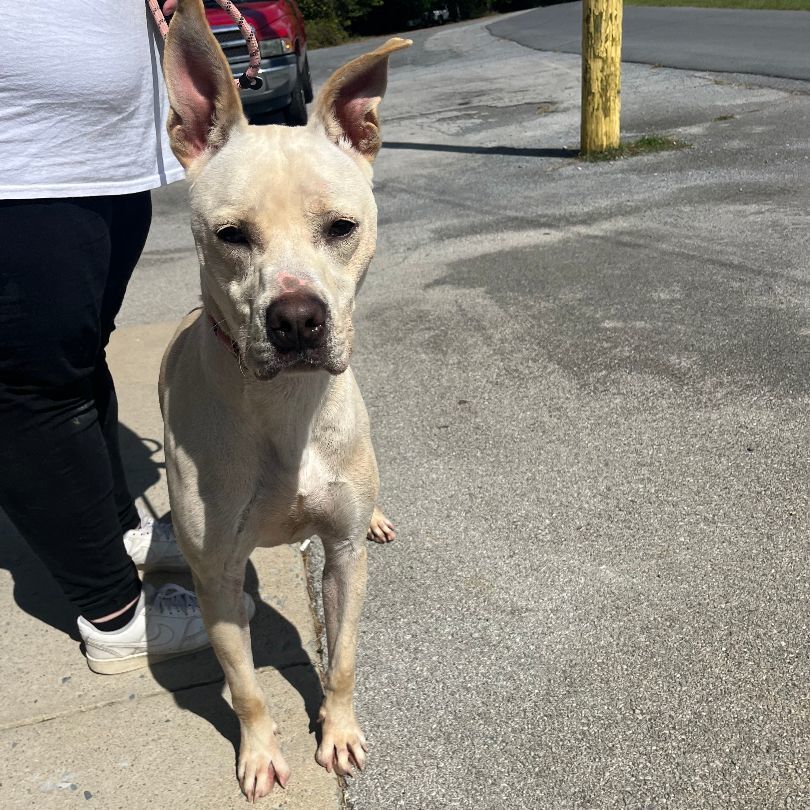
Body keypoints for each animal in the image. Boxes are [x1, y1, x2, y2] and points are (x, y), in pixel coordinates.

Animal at [158, 0, 410, 796]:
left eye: (342, 227)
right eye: (231, 235)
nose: (297, 320)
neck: (285, 412)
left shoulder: (342, 557)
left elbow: (344, 658)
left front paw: (339, 733)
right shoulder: (217, 580)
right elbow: (246, 688)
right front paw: (262, 753)